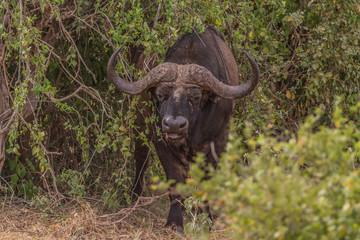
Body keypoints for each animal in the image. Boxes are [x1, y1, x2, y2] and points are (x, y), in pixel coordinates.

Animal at [107, 26, 258, 232]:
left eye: (195, 97)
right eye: (161, 95)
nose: (174, 125)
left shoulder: (218, 142)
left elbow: (205, 181)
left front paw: (206, 219)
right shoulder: (162, 143)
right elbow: (174, 180)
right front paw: (174, 222)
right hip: (140, 123)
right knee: (141, 158)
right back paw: (135, 196)